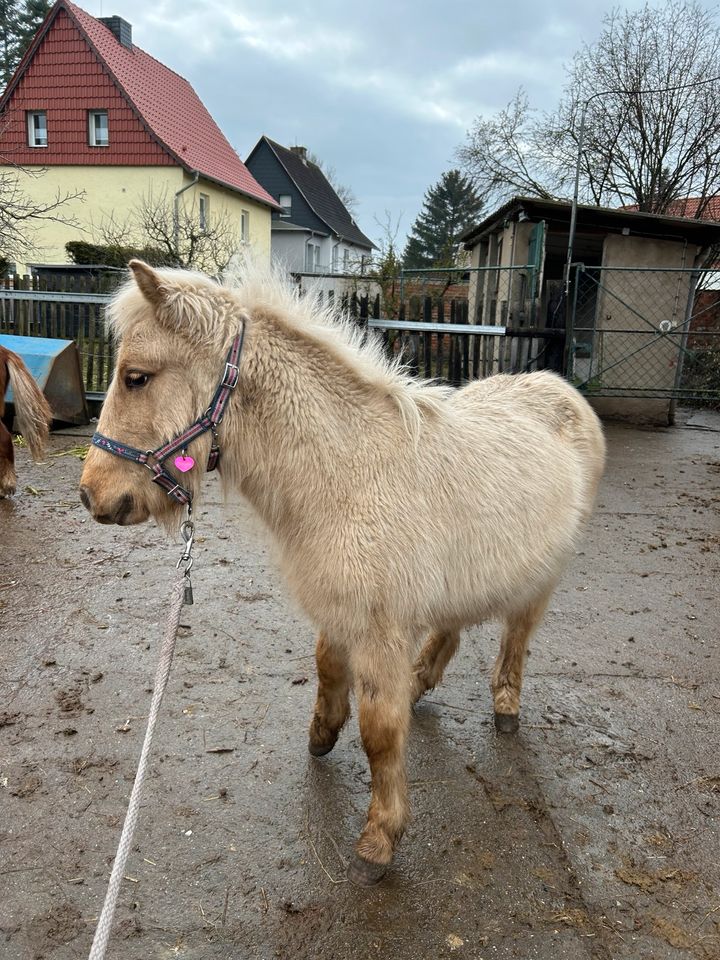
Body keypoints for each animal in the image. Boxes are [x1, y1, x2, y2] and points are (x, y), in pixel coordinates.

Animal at [80, 260, 608, 884]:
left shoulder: (380, 629)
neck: (346, 472)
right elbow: (329, 667)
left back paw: (504, 704)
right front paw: (322, 734)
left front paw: (380, 837)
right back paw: (421, 681)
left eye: (136, 377)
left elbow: (379, 731)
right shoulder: (339, 606)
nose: (91, 495)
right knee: (451, 627)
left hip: (542, 575)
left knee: (517, 637)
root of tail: (561, 389)